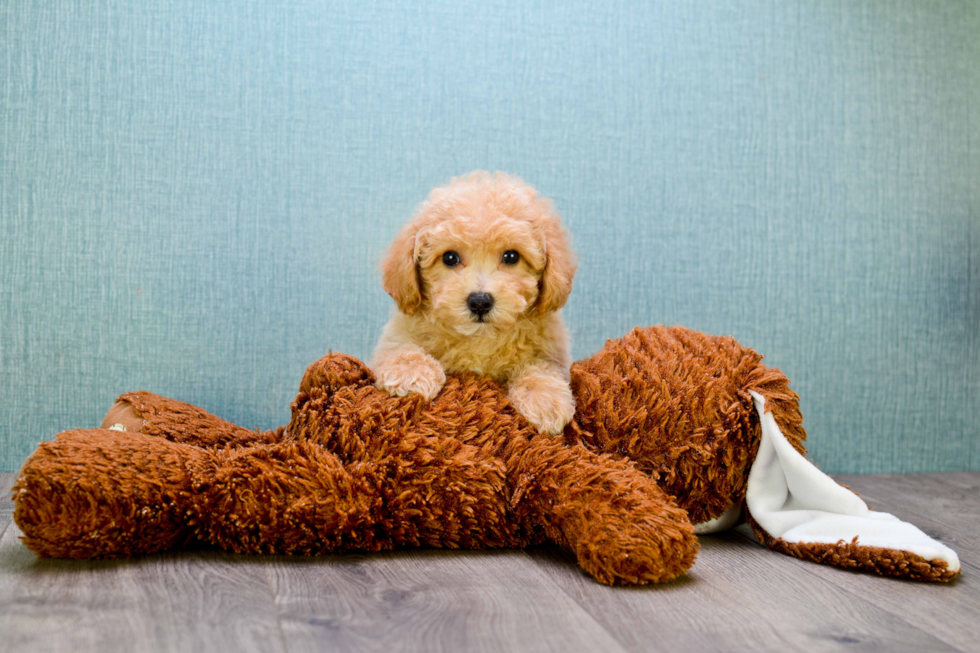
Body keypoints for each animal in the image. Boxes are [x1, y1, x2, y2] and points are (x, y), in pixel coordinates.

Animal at [372, 171, 580, 432]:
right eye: (450, 258)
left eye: (511, 256)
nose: (480, 301)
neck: (479, 338)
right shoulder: (395, 337)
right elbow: (399, 350)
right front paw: (411, 372)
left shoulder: (552, 354)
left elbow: (540, 367)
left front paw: (545, 398)